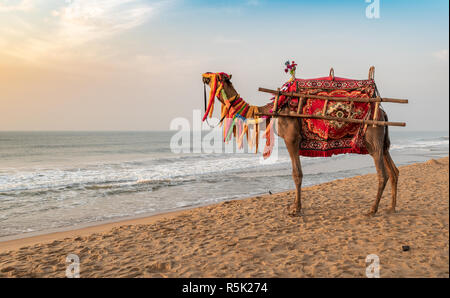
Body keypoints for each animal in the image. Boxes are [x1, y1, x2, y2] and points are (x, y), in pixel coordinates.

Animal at [202, 63, 406, 217]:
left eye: (214, 77)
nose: (204, 76)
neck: (276, 107)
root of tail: (382, 112)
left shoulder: (291, 138)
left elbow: (296, 174)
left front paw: (296, 209)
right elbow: (296, 173)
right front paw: (293, 205)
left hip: (372, 137)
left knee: (383, 173)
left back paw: (372, 209)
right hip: (382, 140)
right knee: (394, 171)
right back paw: (391, 207)